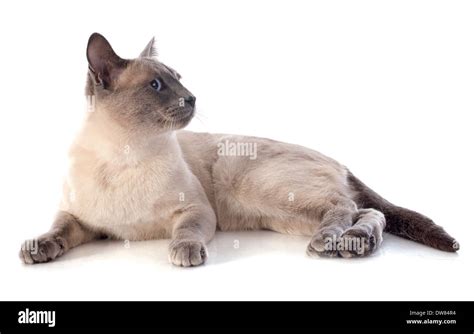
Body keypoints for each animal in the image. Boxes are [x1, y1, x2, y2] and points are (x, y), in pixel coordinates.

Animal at [19, 33, 460, 266]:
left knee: (347, 206)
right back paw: (357, 243)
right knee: (367, 211)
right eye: (157, 86)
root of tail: (337, 159)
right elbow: (55, 231)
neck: (124, 154)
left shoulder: (196, 211)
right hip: (280, 214)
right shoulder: (79, 219)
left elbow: (187, 233)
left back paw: (334, 243)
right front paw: (36, 249)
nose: (192, 98)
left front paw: (185, 253)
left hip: (263, 190)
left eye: (178, 79)